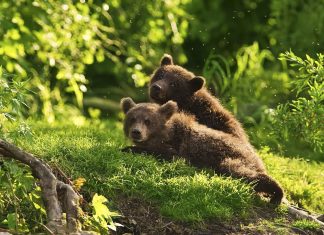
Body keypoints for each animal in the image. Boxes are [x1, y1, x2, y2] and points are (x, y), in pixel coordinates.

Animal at [121, 97, 284, 204]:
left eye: (148, 121)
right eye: (132, 118)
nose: (136, 132)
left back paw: (276, 193)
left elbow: (164, 154)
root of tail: (256, 156)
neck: (166, 133)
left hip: (233, 157)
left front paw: (128, 148)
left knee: (240, 171)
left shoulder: (177, 148)